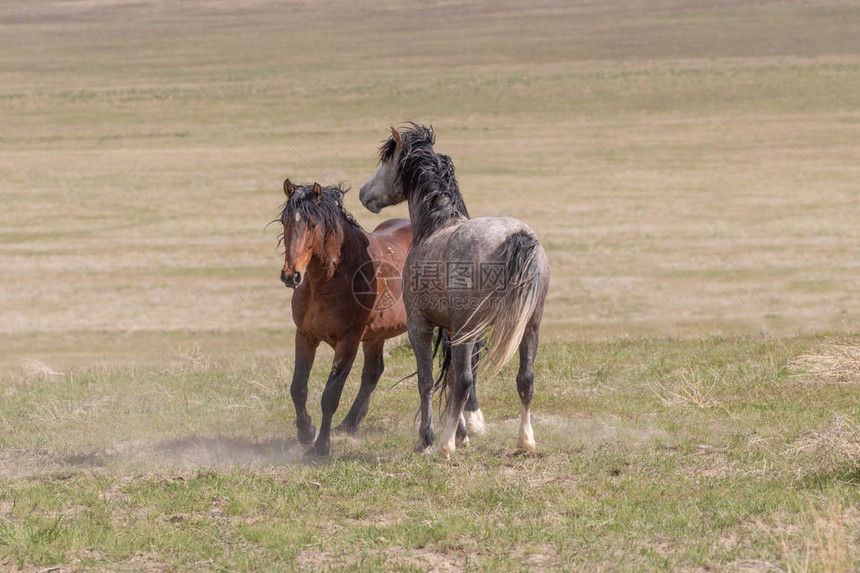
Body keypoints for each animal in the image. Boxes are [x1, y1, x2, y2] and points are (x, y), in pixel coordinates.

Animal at [358, 125, 552, 456]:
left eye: (386, 160)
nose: (363, 193)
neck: (435, 227)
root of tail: (517, 236)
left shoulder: (420, 326)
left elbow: (428, 381)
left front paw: (427, 438)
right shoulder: (451, 330)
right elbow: (448, 378)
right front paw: (462, 433)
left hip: (469, 328)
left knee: (463, 381)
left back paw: (444, 446)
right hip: (529, 327)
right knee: (525, 379)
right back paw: (525, 441)